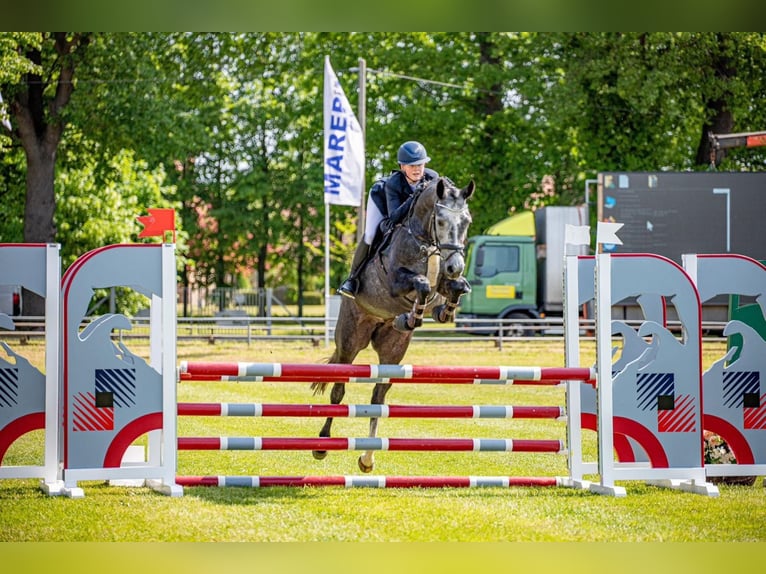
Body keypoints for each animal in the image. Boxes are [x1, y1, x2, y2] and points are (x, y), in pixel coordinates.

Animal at [310, 178, 474, 474]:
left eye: (467, 221)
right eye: (441, 221)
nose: (455, 266)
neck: (426, 242)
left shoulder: (444, 283)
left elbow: (454, 288)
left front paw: (441, 311)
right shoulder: (395, 283)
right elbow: (421, 284)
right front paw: (413, 316)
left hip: (393, 349)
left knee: (378, 396)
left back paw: (367, 458)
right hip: (350, 340)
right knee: (338, 391)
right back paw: (322, 445)